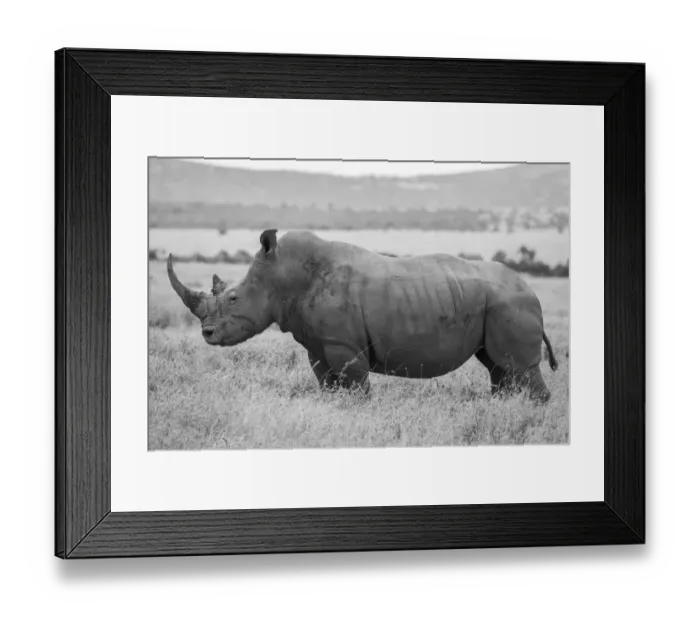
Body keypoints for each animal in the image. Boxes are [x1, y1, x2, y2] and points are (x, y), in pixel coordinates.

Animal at [168, 229, 559, 402]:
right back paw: (504, 406)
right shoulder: (318, 344)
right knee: (499, 367)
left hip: (511, 304)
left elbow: (355, 385)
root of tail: (532, 291)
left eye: (233, 298)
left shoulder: (343, 344)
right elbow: (327, 383)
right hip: (498, 305)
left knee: (518, 368)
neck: (282, 275)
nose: (207, 333)